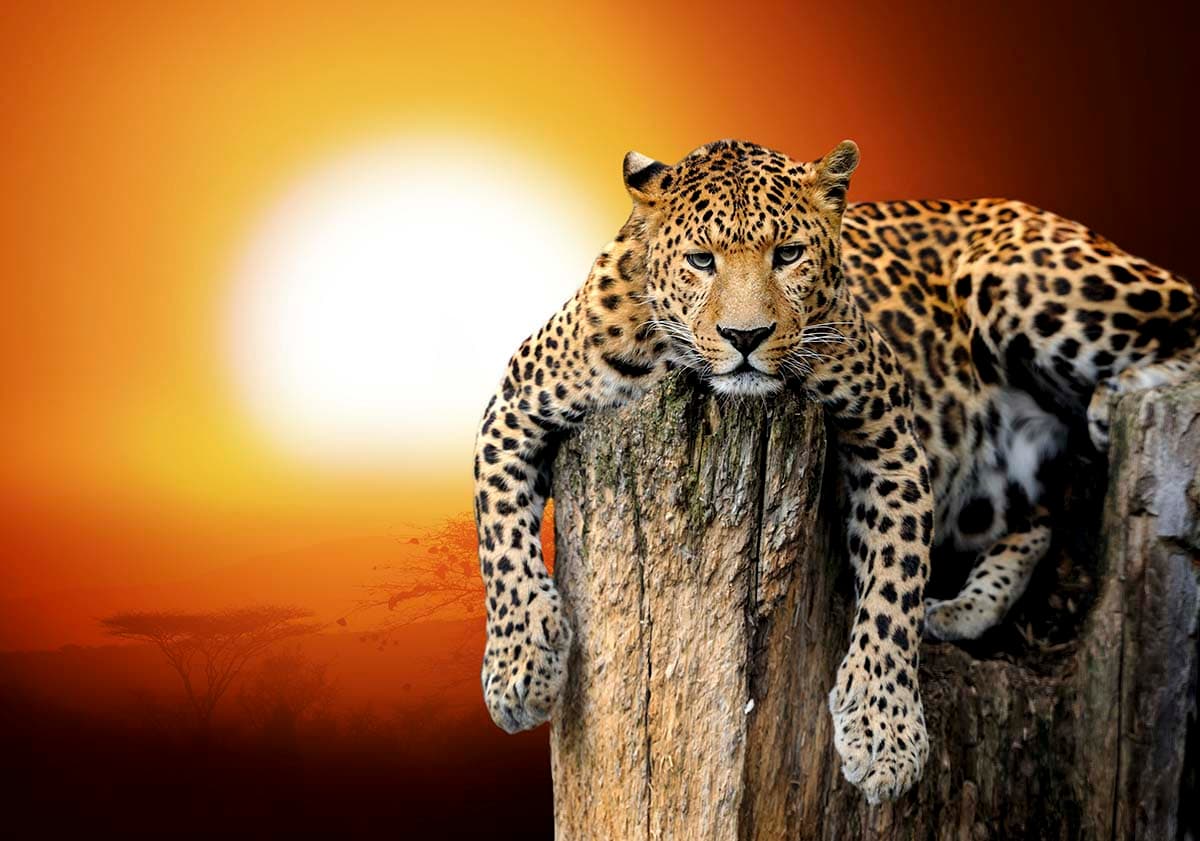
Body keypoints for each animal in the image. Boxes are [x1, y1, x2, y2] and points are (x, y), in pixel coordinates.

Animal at [471, 138, 1199, 803]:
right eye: (702, 260)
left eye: (788, 254)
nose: (745, 337)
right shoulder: (513, 405)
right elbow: (499, 541)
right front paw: (519, 669)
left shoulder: (889, 430)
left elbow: (894, 581)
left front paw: (884, 731)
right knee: (1039, 518)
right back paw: (961, 608)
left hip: (1022, 278)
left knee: (1187, 322)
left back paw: (1114, 398)